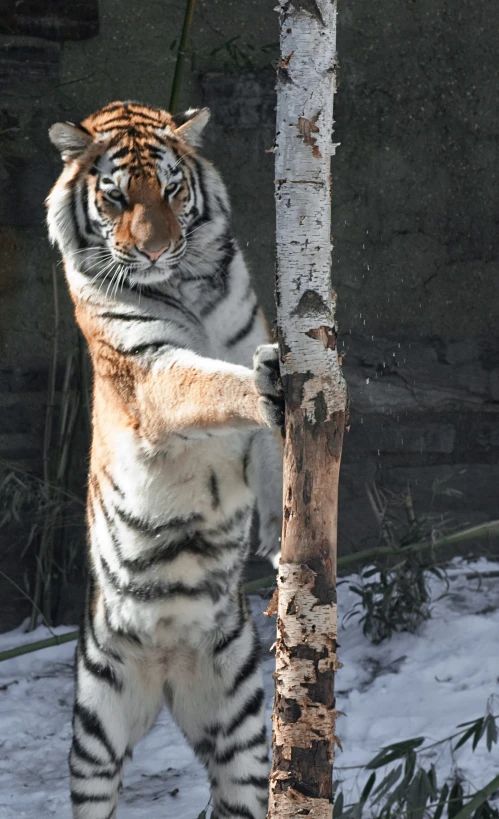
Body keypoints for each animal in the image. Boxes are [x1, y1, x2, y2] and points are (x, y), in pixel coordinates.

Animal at [46, 102, 286, 819]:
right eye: (116, 196)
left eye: (174, 191)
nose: (153, 248)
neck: (184, 285)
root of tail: (168, 665)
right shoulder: (150, 372)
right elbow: (208, 381)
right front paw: (259, 383)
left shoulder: (248, 334)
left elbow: (270, 451)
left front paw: (281, 536)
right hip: (95, 730)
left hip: (240, 725)